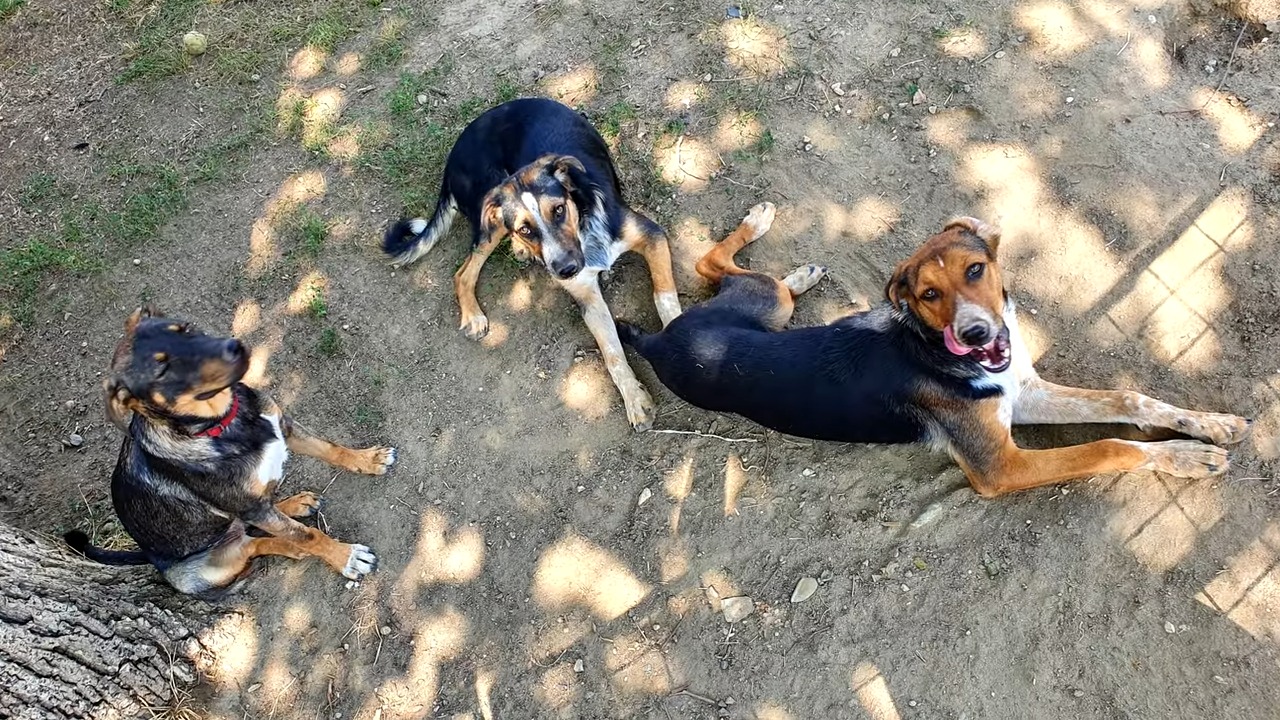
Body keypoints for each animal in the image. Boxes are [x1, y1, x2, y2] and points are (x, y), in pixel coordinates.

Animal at [63, 308, 394, 594]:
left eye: (185, 328)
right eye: (163, 369)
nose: (235, 346)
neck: (225, 422)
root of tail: (149, 557)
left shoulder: (283, 427)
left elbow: (330, 448)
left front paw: (368, 458)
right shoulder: (252, 506)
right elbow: (306, 535)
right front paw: (345, 557)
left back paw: (297, 504)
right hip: (209, 566)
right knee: (256, 544)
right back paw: (293, 545)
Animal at [378, 98, 680, 427]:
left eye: (559, 210)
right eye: (526, 229)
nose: (565, 270)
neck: (584, 229)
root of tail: (453, 157)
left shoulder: (652, 237)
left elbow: (664, 298)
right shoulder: (586, 294)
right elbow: (612, 353)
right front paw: (635, 400)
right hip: (490, 217)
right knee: (463, 272)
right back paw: (474, 314)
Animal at [616, 202, 1249, 491]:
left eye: (975, 269)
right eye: (927, 294)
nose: (976, 334)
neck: (939, 352)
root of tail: (660, 338)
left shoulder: (1023, 394)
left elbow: (1129, 400)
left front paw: (1210, 426)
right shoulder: (1000, 467)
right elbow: (1110, 446)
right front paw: (1187, 458)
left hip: (768, 307)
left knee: (716, 268)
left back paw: (797, 267)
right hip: (762, 304)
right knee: (706, 262)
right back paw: (763, 224)